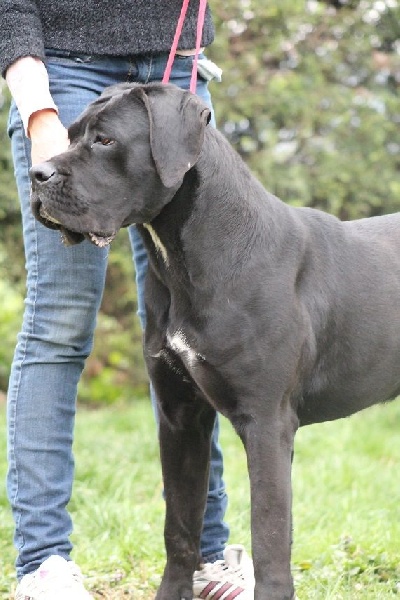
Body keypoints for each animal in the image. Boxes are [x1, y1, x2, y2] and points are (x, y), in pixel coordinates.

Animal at [28, 83, 400, 600]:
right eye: (69, 135)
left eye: (105, 140)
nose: (36, 174)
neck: (184, 259)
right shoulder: (180, 417)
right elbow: (180, 527)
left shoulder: (266, 421)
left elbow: (269, 534)